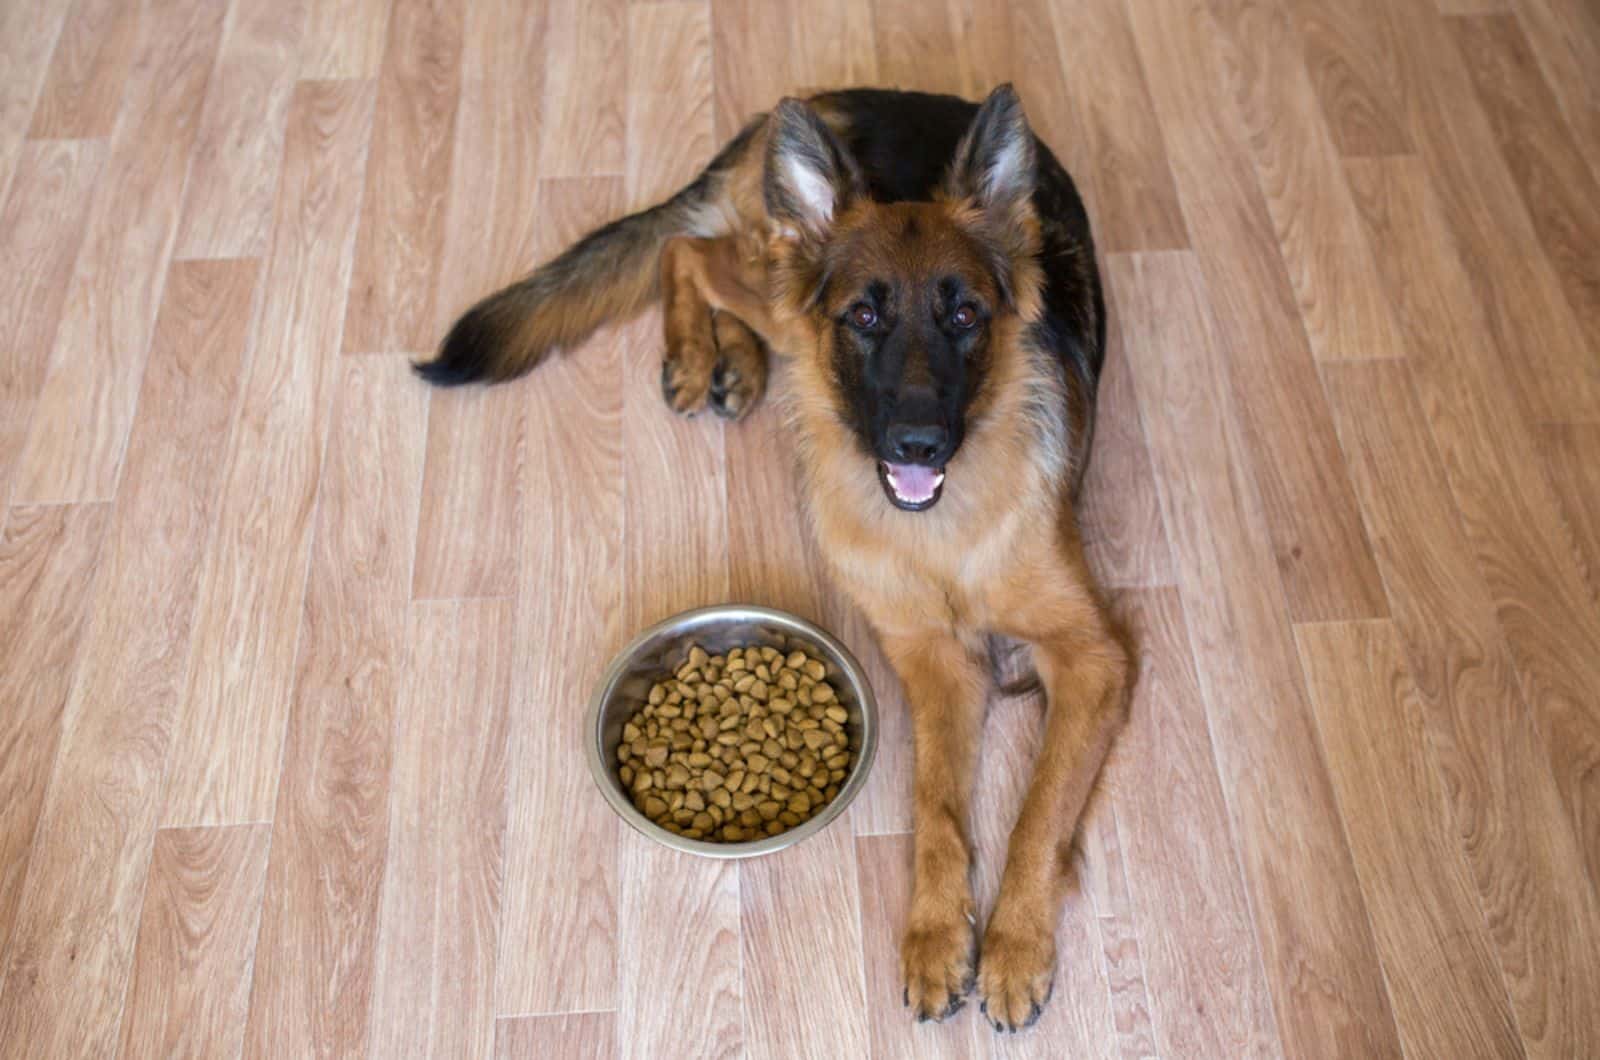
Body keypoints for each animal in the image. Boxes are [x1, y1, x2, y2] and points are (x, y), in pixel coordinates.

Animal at [419, 87, 1132, 1031]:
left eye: (965, 317)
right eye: (864, 316)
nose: (918, 443)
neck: (941, 538)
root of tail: (834, 99)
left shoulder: (1091, 659)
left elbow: (1037, 810)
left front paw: (1012, 949)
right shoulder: (936, 665)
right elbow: (938, 811)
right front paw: (938, 938)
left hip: (783, 302)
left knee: (703, 256)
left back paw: (735, 363)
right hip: (783, 296)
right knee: (692, 251)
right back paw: (701, 355)